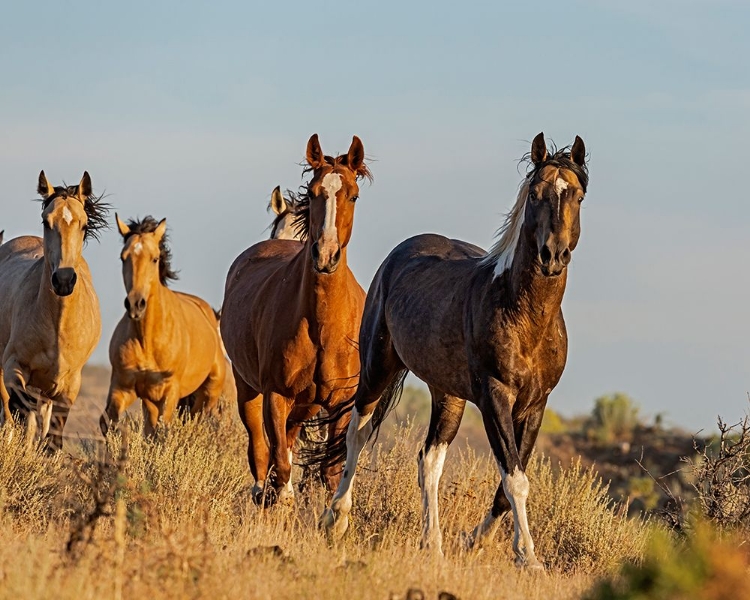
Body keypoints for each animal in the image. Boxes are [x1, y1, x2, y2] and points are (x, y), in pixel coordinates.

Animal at [0, 171, 108, 448]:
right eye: (46, 221)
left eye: (83, 225)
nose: (63, 280)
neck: (57, 327)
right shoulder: (14, 368)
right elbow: (20, 415)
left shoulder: (68, 386)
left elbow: (51, 440)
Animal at [101, 216, 228, 436]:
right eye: (123, 258)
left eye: (155, 258)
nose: (135, 304)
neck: (147, 339)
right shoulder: (122, 387)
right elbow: (111, 423)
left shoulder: (169, 392)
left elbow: (163, 431)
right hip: (151, 401)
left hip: (208, 394)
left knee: (197, 420)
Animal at [223, 134, 374, 504]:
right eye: (313, 192)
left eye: (353, 194)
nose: (326, 255)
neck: (322, 326)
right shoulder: (276, 396)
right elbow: (280, 463)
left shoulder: (341, 404)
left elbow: (331, 472)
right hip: (248, 389)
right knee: (261, 452)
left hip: (305, 404)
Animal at [320, 132, 592, 568]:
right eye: (535, 194)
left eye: (578, 196)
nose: (553, 255)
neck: (524, 315)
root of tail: (401, 253)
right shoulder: (495, 397)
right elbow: (515, 478)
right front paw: (528, 556)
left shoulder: (535, 406)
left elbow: (508, 483)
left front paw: (475, 540)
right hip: (377, 370)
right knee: (356, 437)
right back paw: (336, 519)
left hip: (448, 395)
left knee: (428, 460)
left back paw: (433, 543)